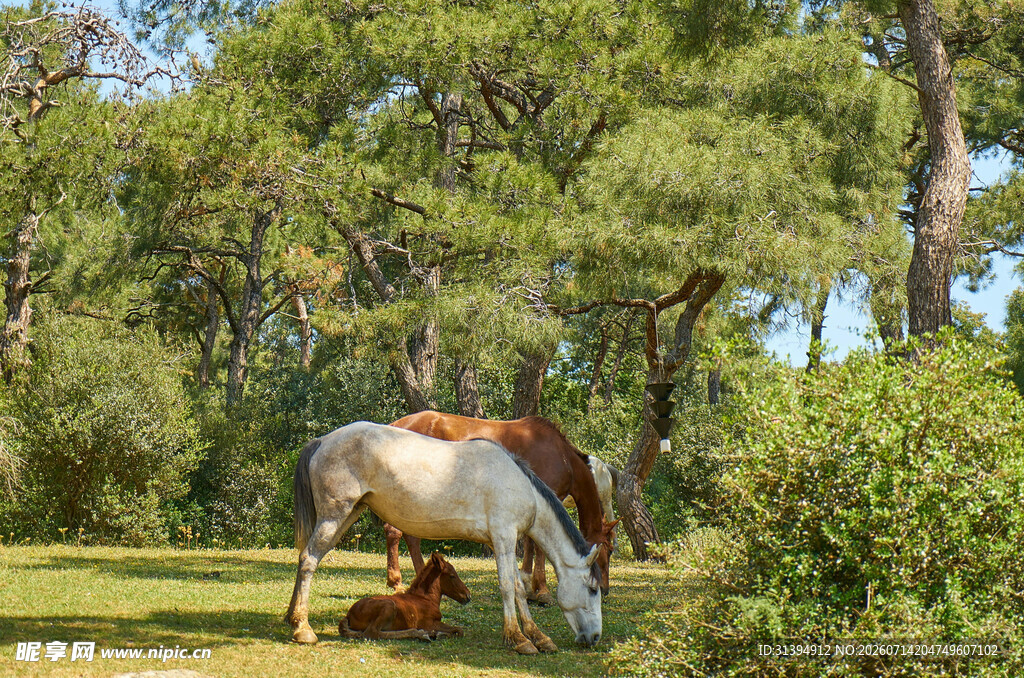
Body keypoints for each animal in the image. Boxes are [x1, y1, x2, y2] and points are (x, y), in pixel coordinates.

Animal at [340, 552, 470, 641]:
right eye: (452, 576)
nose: (468, 595)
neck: (425, 599)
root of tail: (349, 614)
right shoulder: (429, 623)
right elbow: (459, 630)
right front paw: (437, 634)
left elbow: (457, 630)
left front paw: (438, 634)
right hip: (389, 605)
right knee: (372, 633)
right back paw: (421, 634)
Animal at [385, 411, 617, 604]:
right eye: (609, 549)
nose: (604, 589)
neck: (562, 457)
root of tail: (396, 425)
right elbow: (539, 546)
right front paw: (542, 591)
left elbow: (531, 544)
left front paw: (529, 586)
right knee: (396, 532)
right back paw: (399, 581)